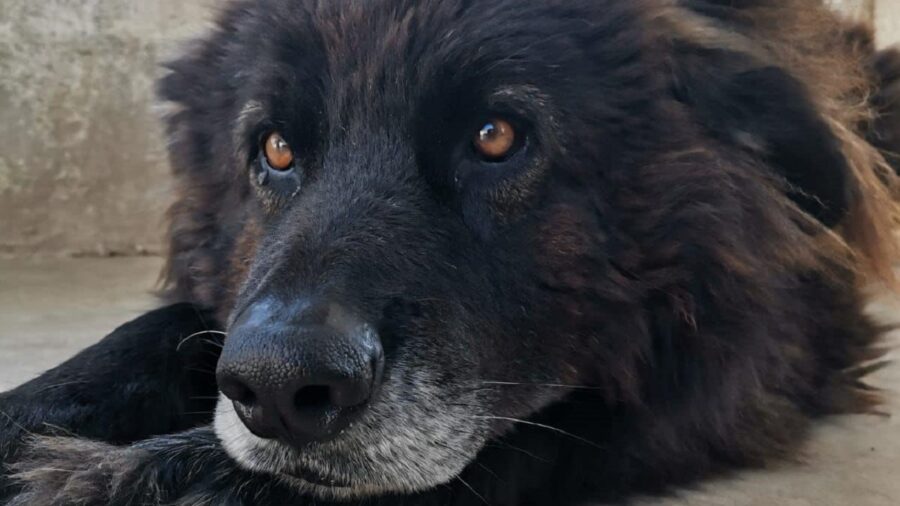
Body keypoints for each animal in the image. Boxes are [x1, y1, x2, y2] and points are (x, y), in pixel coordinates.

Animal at [1, 0, 900, 506]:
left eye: (496, 136)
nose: (278, 389)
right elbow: (160, 330)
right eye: (277, 149)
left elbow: (545, 426)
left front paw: (127, 482)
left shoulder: (758, 351)